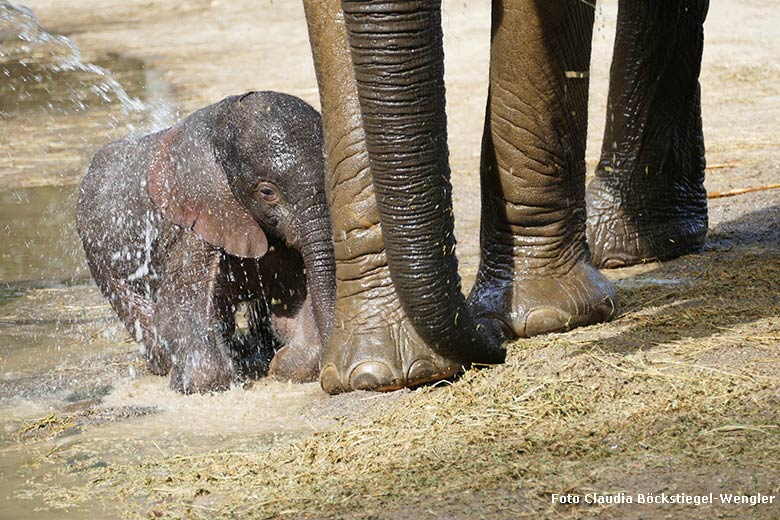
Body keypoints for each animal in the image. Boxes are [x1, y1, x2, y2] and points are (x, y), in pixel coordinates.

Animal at [76, 92, 336, 394]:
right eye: (267, 192)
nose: (331, 375)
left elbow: (293, 291)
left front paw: (285, 365)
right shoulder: (189, 221)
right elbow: (180, 303)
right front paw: (201, 383)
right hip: (97, 253)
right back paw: (166, 366)